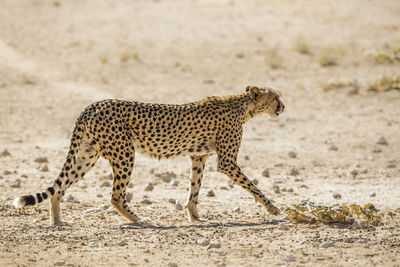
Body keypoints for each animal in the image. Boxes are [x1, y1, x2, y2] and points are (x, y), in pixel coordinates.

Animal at [14, 87, 286, 225]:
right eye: (275, 97)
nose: (283, 107)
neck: (244, 107)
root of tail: (94, 105)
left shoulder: (198, 157)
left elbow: (194, 189)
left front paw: (194, 216)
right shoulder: (227, 163)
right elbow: (254, 187)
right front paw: (274, 209)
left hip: (87, 155)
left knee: (59, 188)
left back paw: (57, 221)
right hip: (124, 153)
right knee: (115, 196)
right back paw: (139, 219)